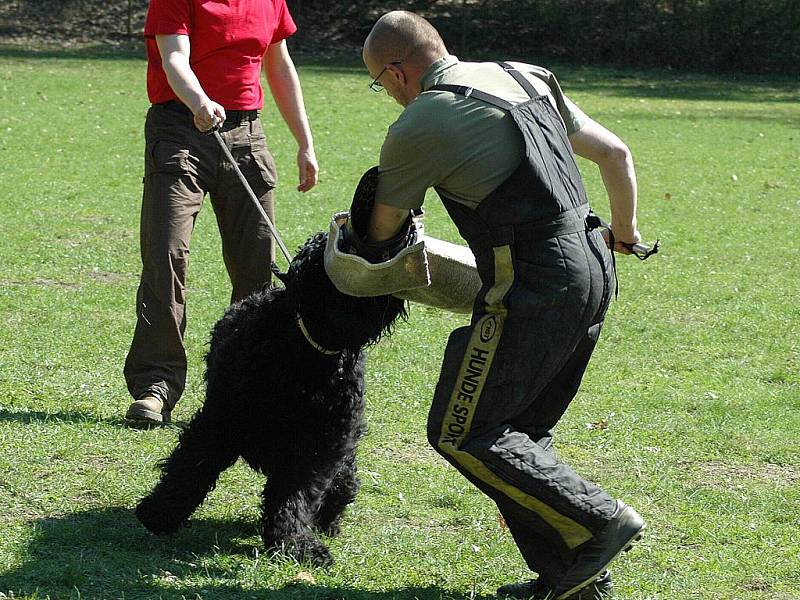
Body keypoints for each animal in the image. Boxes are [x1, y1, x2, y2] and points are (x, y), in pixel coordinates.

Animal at [136, 232, 406, 564]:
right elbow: (191, 466)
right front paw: (160, 512)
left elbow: (295, 495)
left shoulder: (318, 446)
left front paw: (295, 542)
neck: (307, 354)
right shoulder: (219, 421)